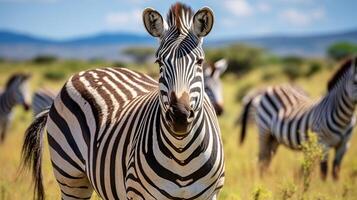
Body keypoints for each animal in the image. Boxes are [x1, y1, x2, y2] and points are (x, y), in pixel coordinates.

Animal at [20, 3, 222, 200]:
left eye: (199, 62)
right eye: (159, 63)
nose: (179, 116)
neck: (182, 157)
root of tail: (92, 70)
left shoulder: (211, 195)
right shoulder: (137, 193)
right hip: (70, 178)